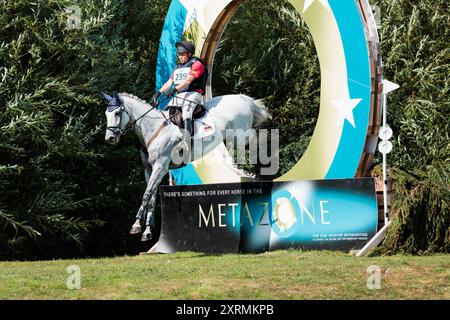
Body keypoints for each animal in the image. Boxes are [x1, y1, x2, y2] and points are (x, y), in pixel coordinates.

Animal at [103, 92, 268, 240]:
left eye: (117, 113)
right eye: (106, 114)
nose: (110, 138)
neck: (153, 128)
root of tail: (242, 98)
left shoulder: (160, 167)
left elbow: (147, 194)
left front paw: (136, 225)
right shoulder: (149, 170)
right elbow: (151, 198)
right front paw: (147, 231)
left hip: (241, 136)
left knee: (255, 140)